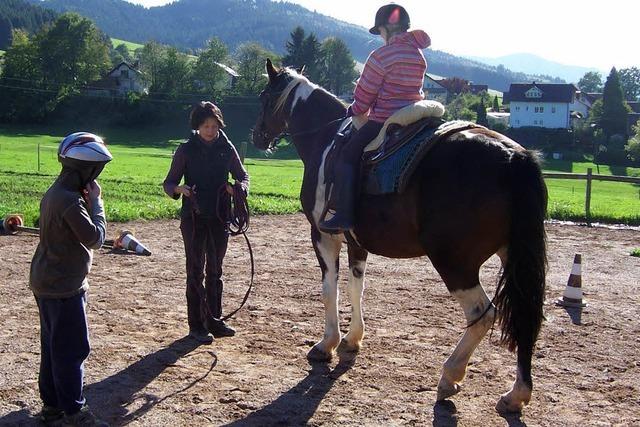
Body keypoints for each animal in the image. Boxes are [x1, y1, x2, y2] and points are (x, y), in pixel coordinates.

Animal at [252, 60, 548, 414]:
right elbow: (355, 287)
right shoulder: (356, 243)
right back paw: (516, 394)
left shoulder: (323, 235)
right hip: (513, 257)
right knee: (525, 316)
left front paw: (326, 344)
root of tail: (514, 157)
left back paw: (450, 376)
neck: (326, 140)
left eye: (265, 96)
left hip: (455, 262)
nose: (257, 135)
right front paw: (352, 339)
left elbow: (328, 290)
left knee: (483, 314)